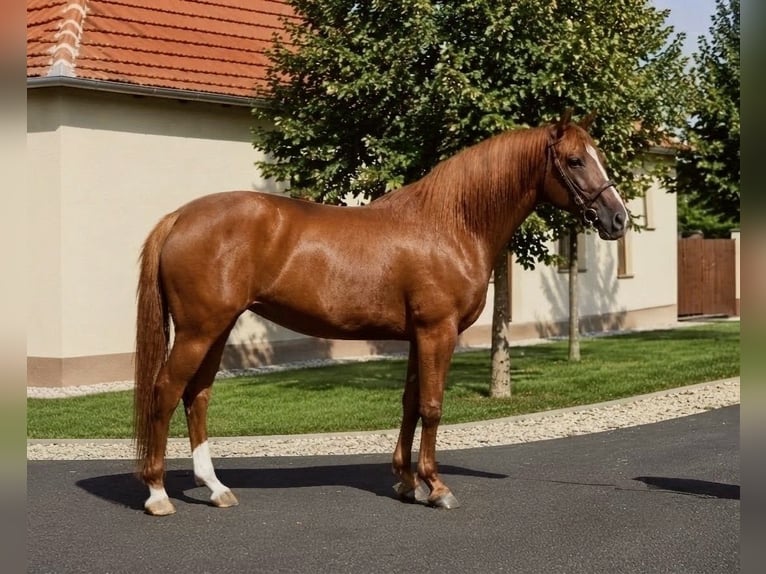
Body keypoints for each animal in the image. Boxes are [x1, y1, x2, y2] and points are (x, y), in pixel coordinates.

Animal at [133, 110, 628, 516]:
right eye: (576, 161)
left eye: (598, 156)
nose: (618, 219)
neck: (450, 224)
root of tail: (179, 217)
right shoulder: (437, 332)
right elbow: (432, 406)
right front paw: (436, 487)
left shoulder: (417, 336)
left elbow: (410, 403)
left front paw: (407, 482)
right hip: (199, 331)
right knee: (165, 391)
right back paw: (157, 494)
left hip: (216, 330)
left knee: (197, 396)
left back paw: (216, 488)